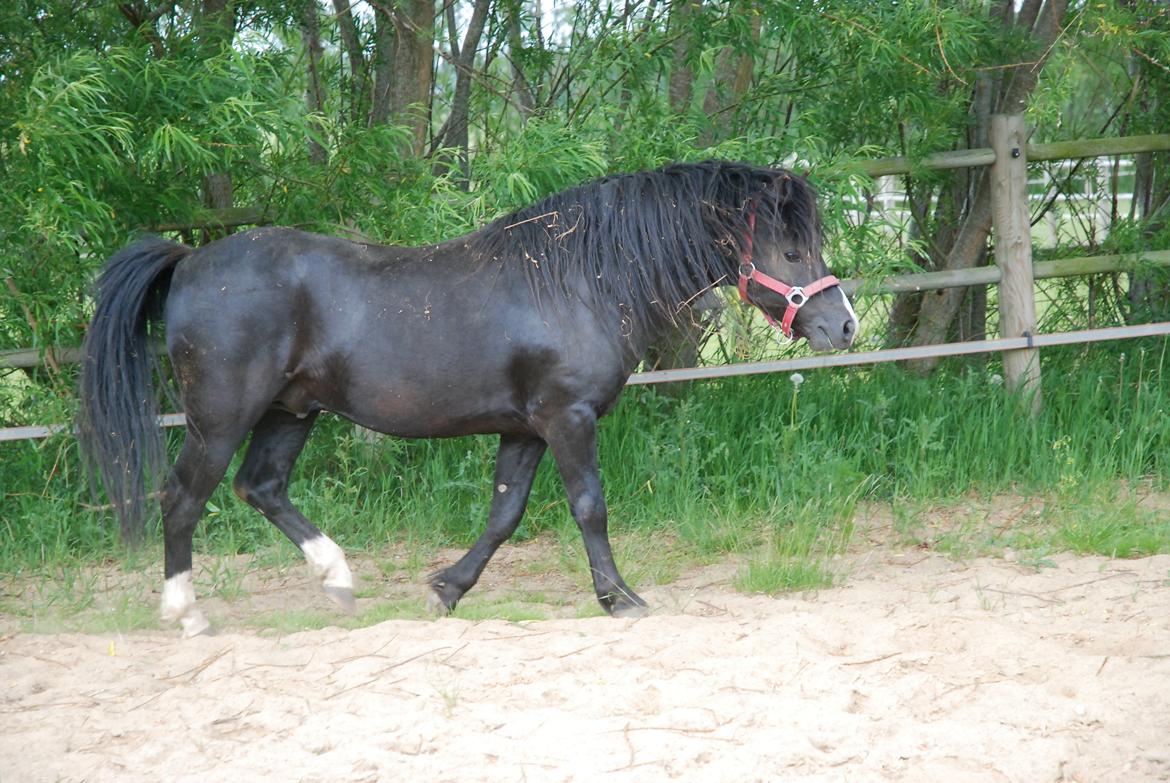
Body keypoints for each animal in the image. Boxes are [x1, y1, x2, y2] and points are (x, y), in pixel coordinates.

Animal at [75, 160, 861, 636]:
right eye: (793, 252)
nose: (843, 325)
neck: (578, 281)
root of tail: (190, 260)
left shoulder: (525, 429)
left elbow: (504, 515)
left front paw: (447, 588)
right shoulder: (567, 418)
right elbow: (590, 507)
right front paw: (621, 598)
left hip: (290, 411)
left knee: (260, 487)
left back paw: (339, 579)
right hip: (221, 416)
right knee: (184, 498)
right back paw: (187, 613)